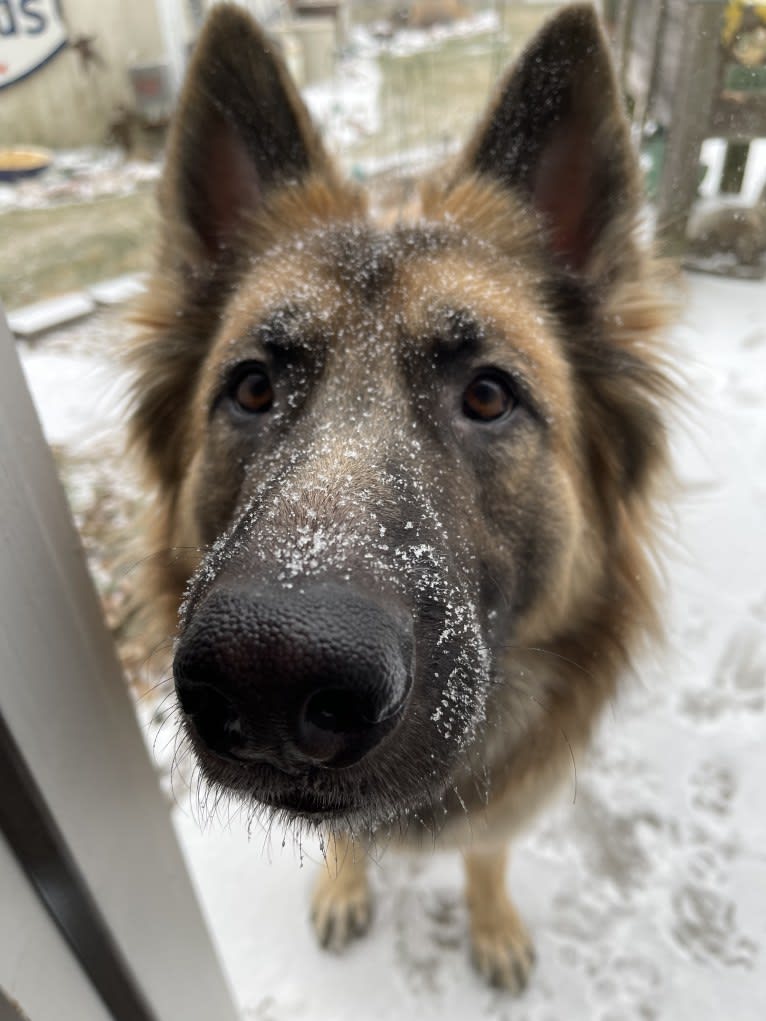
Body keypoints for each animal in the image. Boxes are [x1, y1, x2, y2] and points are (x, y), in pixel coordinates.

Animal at [131, 0, 669, 988]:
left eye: (488, 395)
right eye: (253, 388)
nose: (274, 667)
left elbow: (486, 852)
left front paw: (491, 924)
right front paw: (347, 886)